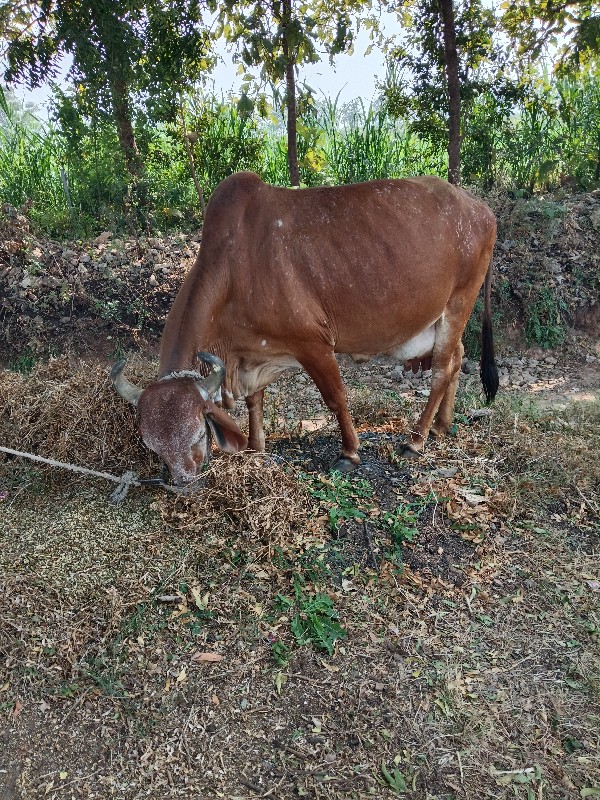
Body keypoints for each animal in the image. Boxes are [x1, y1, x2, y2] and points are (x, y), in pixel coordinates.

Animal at [112, 172, 496, 484]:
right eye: (152, 445)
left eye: (197, 436)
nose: (182, 483)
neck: (235, 266)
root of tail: (480, 208)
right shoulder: (253, 352)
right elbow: (255, 400)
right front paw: (255, 447)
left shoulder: (313, 343)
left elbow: (336, 397)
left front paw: (349, 454)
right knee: (457, 359)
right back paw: (442, 425)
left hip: (458, 303)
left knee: (442, 369)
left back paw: (416, 439)